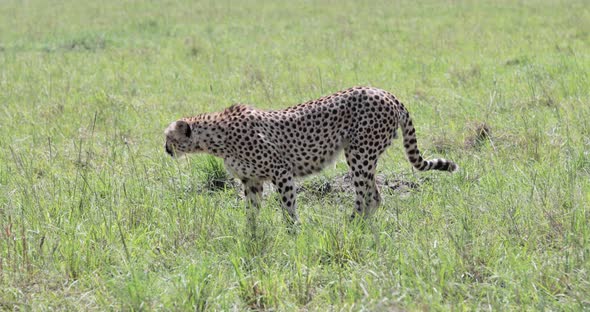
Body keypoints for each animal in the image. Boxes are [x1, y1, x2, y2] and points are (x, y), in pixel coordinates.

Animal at [164, 86, 460, 224]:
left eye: (169, 137)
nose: (165, 149)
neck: (216, 137)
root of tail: (385, 92)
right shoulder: (252, 181)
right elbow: (251, 213)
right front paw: (250, 234)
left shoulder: (281, 172)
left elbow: (287, 207)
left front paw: (293, 232)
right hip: (363, 155)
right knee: (374, 195)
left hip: (359, 154)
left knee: (368, 195)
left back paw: (350, 225)